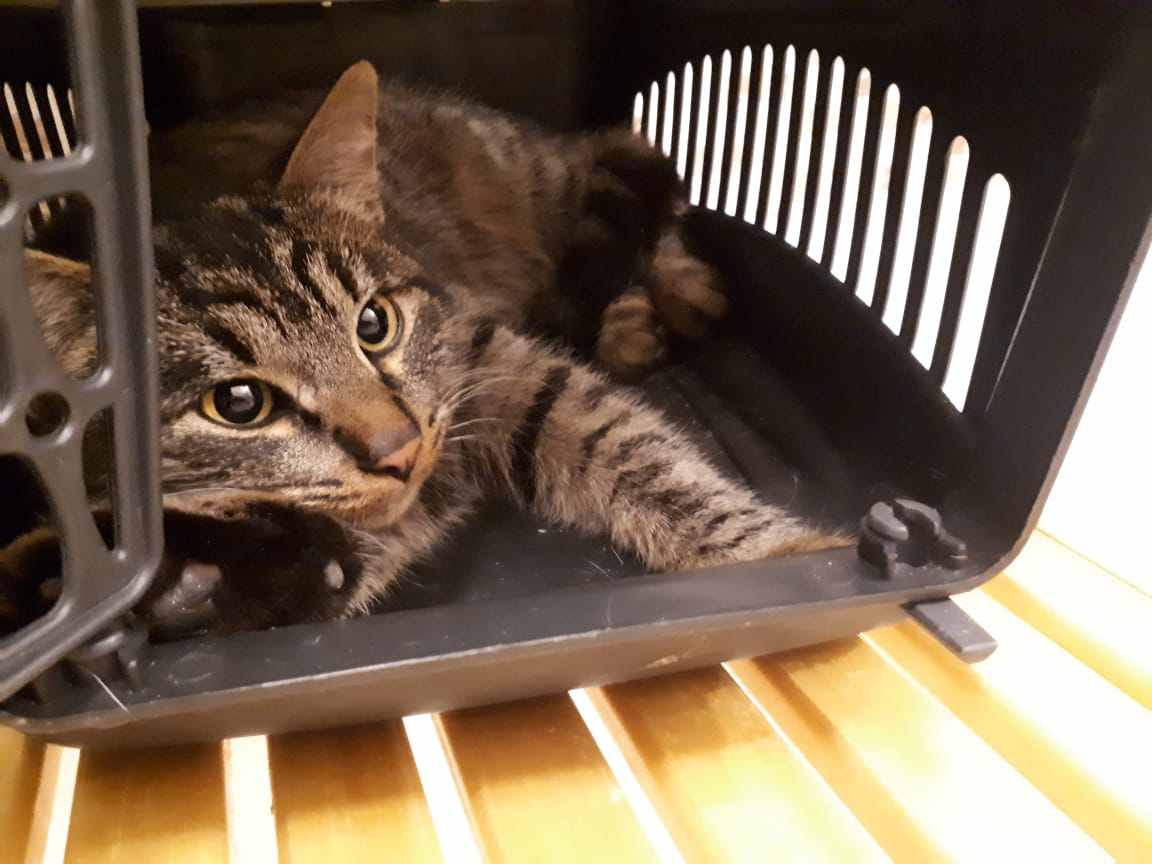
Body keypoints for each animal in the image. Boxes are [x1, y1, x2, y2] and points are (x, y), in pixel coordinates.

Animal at [1, 62, 846, 639]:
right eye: (238, 403)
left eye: (374, 324)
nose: (397, 448)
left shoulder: (492, 362)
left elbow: (637, 453)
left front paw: (787, 550)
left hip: (551, 178)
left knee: (634, 171)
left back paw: (670, 293)